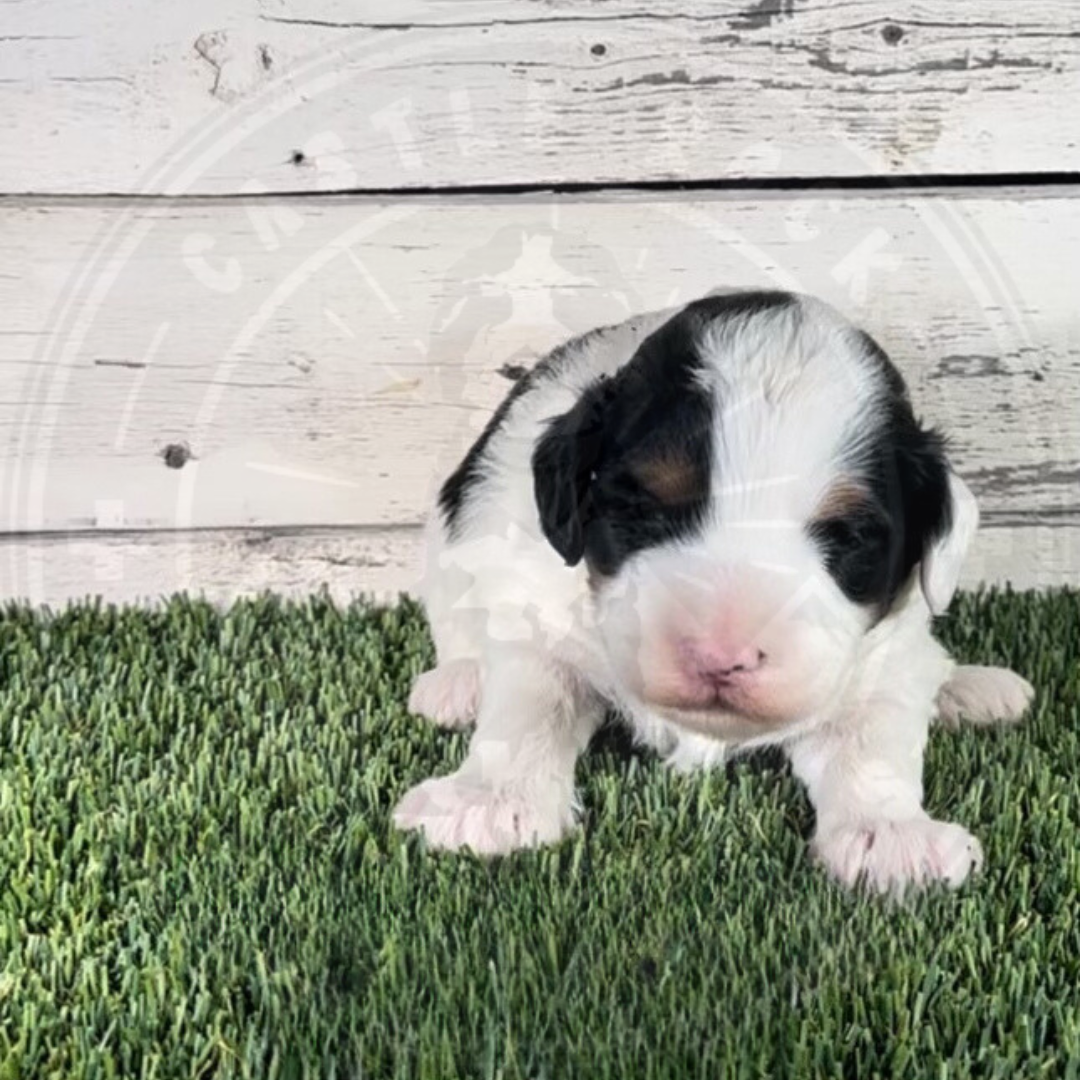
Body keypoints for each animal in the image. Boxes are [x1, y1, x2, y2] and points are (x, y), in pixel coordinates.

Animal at [393, 291, 1032, 889]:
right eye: (644, 510)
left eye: (847, 536)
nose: (721, 659)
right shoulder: (539, 614)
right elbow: (530, 704)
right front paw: (488, 801)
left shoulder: (878, 660)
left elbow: (871, 739)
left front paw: (893, 835)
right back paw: (458, 683)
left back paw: (968, 689)